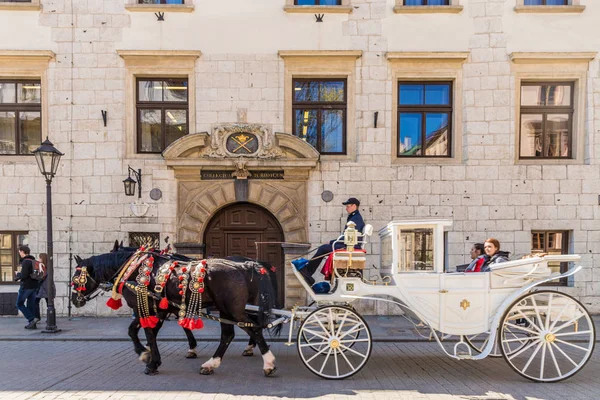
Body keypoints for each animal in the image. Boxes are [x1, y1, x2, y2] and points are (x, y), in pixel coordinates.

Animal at [71, 247, 278, 376]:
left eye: (76, 278)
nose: (75, 301)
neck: (134, 269)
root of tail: (246, 265)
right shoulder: (160, 309)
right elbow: (150, 332)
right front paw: (151, 356)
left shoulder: (143, 306)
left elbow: (141, 332)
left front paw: (147, 358)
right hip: (228, 309)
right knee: (231, 333)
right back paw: (212, 364)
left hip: (232, 308)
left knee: (253, 328)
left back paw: (268, 363)